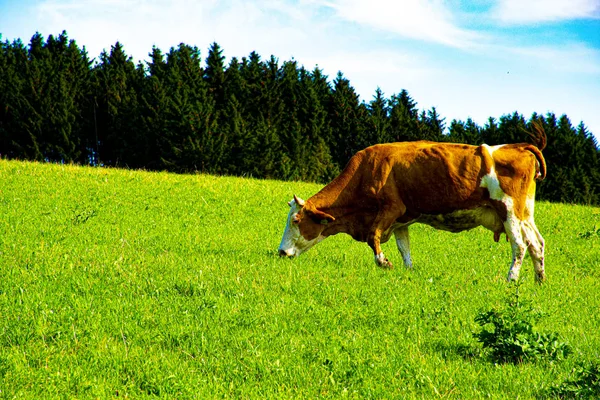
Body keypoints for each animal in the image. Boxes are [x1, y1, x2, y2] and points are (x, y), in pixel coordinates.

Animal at [278, 123, 548, 282]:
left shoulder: (390, 209)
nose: (281, 251)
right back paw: (539, 280)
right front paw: (408, 272)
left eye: (296, 220)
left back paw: (511, 279)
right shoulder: (401, 220)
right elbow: (404, 249)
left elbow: (373, 238)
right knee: (537, 244)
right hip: (525, 215)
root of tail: (519, 146)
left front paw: (384, 263)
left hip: (508, 210)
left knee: (520, 245)